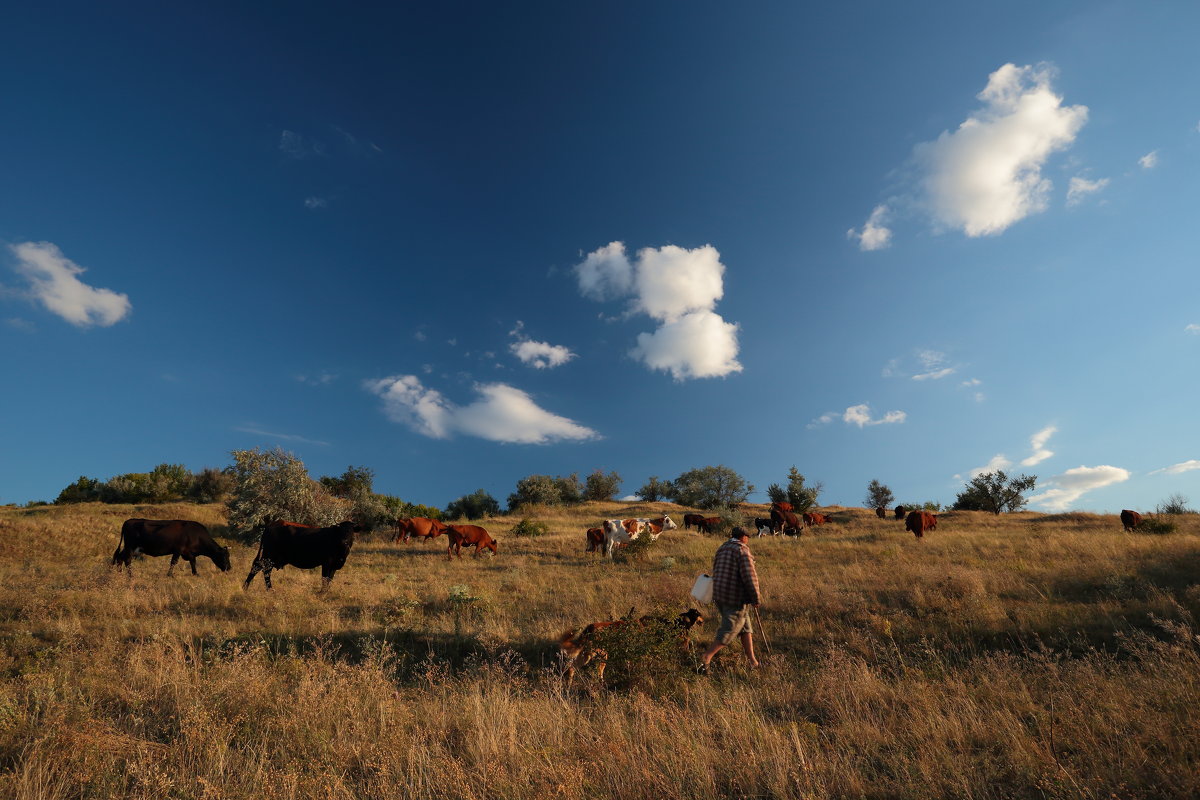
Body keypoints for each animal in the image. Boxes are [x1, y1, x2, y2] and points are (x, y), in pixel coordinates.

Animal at [559, 609, 700, 686]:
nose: (688, 648)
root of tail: (589, 628)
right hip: (602, 655)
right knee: (598, 672)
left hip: (587, 655)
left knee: (571, 668)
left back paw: (568, 685)